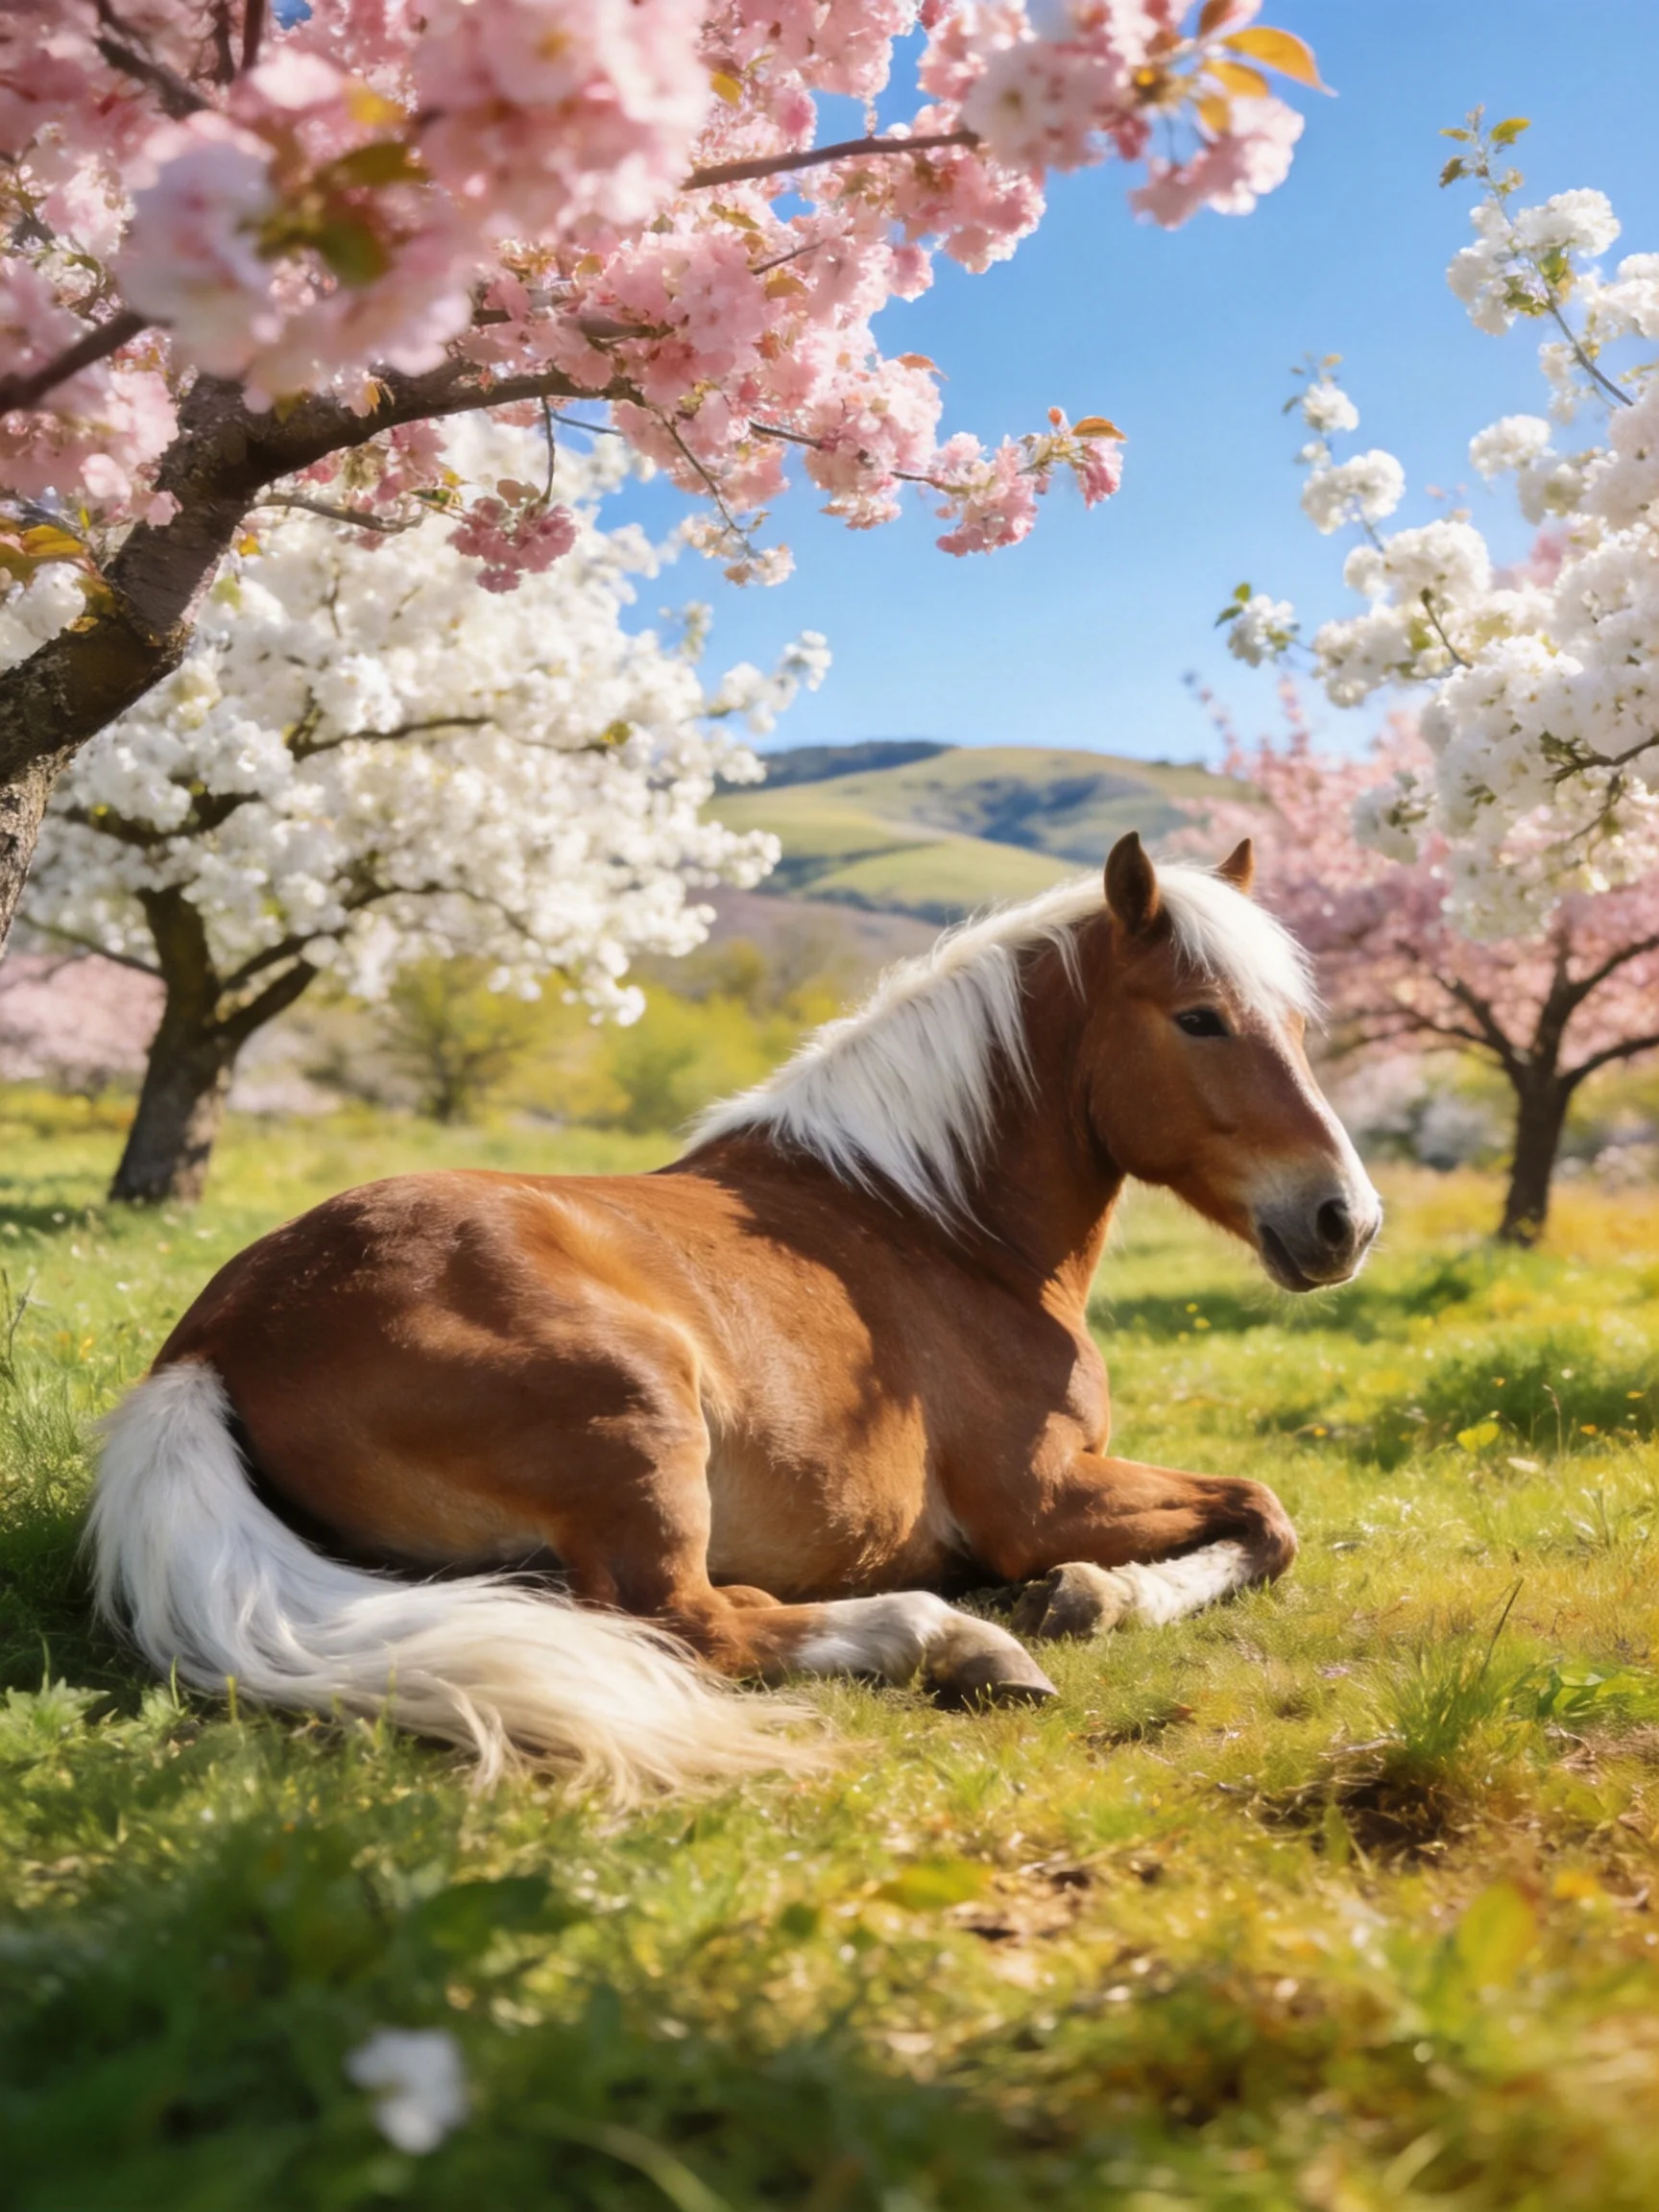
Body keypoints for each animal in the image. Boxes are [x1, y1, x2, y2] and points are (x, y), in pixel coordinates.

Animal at [91, 832, 1381, 1795]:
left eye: (1297, 1026)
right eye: (1200, 1017)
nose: (1347, 1220)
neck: (932, 1219)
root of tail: (212, 1341)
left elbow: (1260, 1516)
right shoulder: (1043, 1495)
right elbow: (1265, 1514)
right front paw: (1089, 1596)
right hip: (642, 1420)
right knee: (683, 1623)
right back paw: (948, 1638)